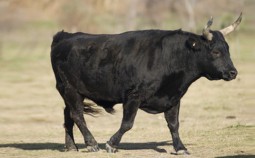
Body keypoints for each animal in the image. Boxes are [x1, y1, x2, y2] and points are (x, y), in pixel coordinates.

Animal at [50, 13, 242, 154]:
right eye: (215, 52)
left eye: (227, 49)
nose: (233, 72)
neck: (170, 57)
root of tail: (65, 36)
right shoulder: (134, 96)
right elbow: (127, 123)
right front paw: (112, 144)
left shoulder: (174, 97)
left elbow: (174, 124)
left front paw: (180, 148)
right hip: (70, 89)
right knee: (77, 115)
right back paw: (92, 143)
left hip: (73, 93)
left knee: (68, 114)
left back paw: (71, 146)